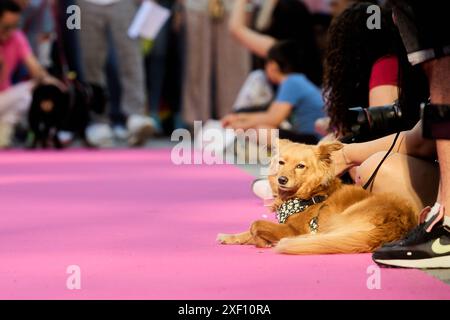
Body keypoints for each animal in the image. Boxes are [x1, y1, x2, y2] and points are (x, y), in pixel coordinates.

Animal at [216, 140, 416, 255]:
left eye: (300, 166)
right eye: (281, 162)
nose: (282, 179)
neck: (309, 195)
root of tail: (397, 225)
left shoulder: (291, 230)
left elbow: (255, 225)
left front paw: (261, 241)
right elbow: (249, 231)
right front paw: (230, 236)